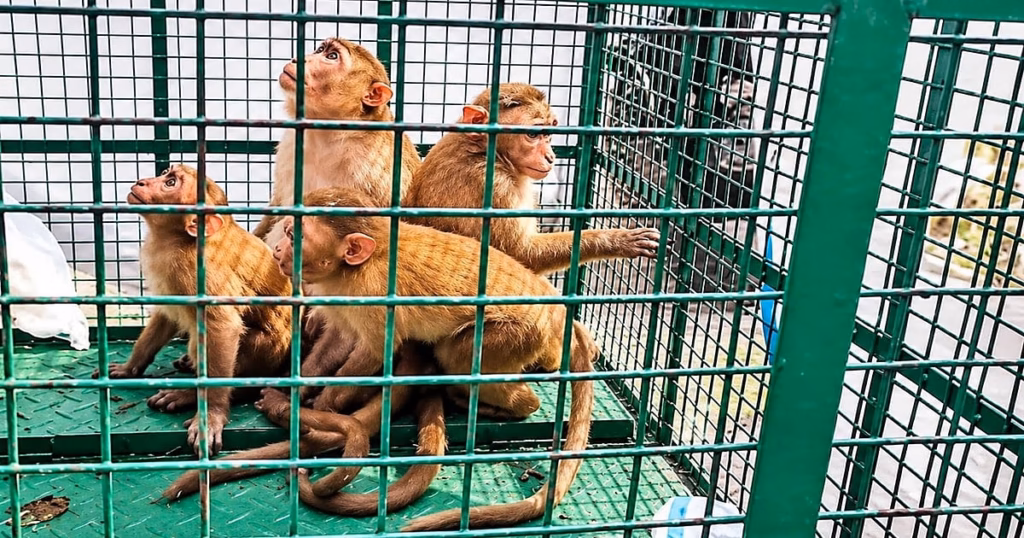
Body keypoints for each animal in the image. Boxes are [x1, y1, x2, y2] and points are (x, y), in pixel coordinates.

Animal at [91, 164, 293, 455]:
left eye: (171, 183)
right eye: (166, 172)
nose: (142, 182)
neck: (179, 239)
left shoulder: (195, 270)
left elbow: (223, 328)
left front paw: (212, 414)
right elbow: (166, 315)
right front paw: (130, 368)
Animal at [269, 186, 597, 530]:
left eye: (293, 236)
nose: (277, 248)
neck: (355, 267)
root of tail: (553, 312)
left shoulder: (372, 290)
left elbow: (375, 350)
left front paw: (324, 406)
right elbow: (338, 339)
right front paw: (295, 390)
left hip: (521, 334)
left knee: (457, 352)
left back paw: (509, 404)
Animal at [401, 82, 661, 276]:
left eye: (550, 130)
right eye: (533, 134)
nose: (551, 156)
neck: (483, 150)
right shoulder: (493, 185)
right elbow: (520, 256)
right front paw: (616, 239)